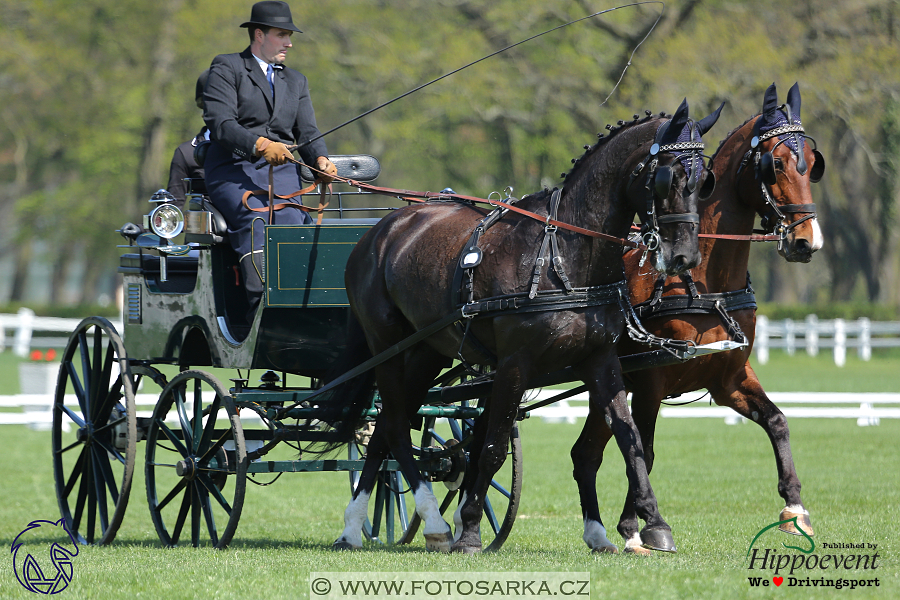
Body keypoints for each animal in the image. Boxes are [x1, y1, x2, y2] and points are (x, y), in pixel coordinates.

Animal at [326, 98, 728, 552]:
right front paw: (469, 529)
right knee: (394, 425)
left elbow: (629, 439)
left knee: (385, 428)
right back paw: (432, 521)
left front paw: (652, 524)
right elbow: (493, 447)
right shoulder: (514, 364)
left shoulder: (601, 359)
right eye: (668, 177)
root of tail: (380, 229)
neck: (562, 256)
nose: (684, 257)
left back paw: (354, 527)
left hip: (426, 351)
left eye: (705, 180)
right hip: (386, 346)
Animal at [572, 82, 828, 556]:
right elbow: (645, 449)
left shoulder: (729, 377)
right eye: (775, 164)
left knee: (586, 454)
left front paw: (794, 510)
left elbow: (778, 421)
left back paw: (596, 534)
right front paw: (640, 526)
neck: (705, 283)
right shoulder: (651, 382)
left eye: (811, 162)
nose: (807, 240)